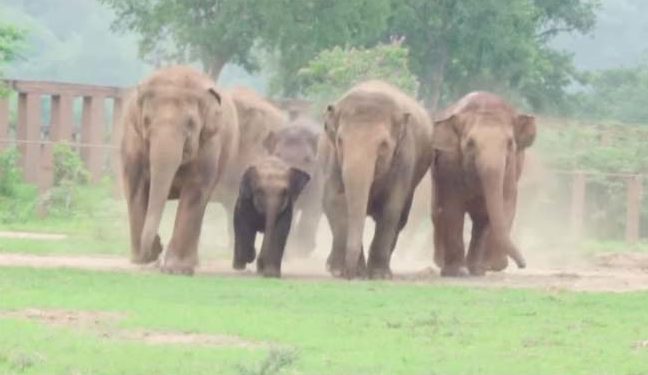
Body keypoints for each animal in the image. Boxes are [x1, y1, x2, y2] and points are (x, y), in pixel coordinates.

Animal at [322, 81, 432, 280]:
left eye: (383, 145)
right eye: (340, 141)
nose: (350, 275)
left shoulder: (404, 157)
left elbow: (391, 208)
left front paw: (378, 275)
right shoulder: (333, 158)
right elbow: (334, 200)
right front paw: (340, 271)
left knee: (401, 218)